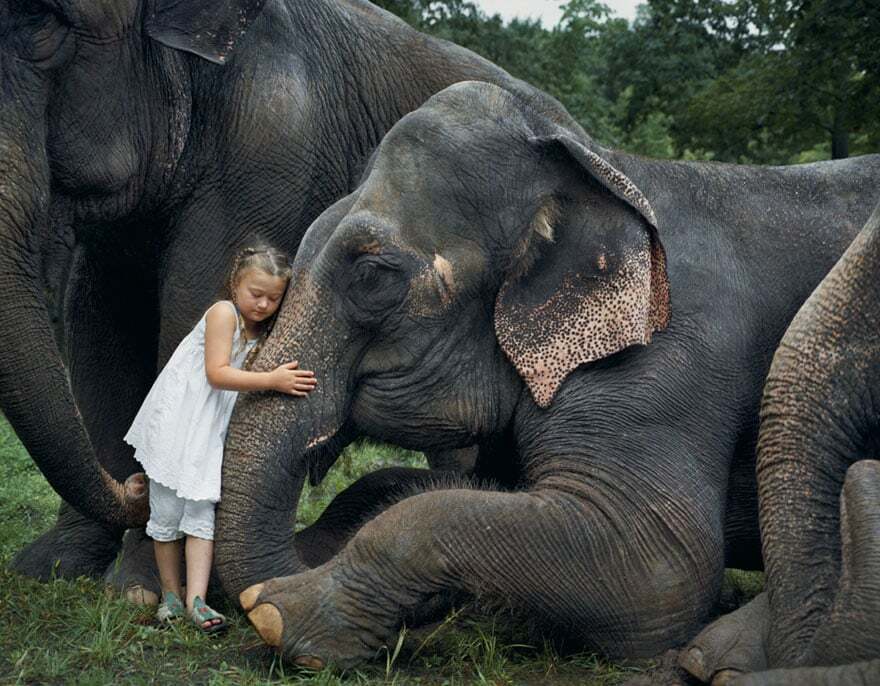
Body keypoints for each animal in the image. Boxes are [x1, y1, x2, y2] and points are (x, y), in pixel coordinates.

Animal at [0, 0, 536, 584]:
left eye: (45, 23)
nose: (135, 488)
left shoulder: (272, 146)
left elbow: (191, 306)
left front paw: (138, 585)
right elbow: (99, 329)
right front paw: (50, 568)